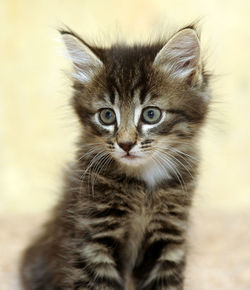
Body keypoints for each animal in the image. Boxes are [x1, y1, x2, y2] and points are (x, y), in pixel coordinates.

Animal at [20, 25, 210, 290]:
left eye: (151, 114)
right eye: (107, 116)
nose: (126, 144)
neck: (144, 185)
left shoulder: (168, 234)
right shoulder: (93, 235)